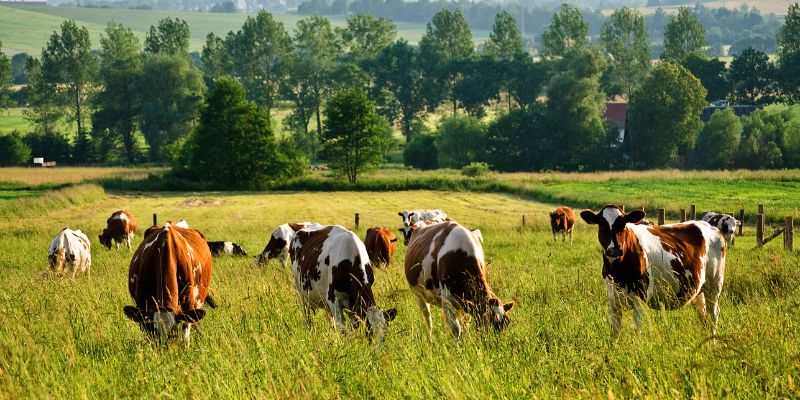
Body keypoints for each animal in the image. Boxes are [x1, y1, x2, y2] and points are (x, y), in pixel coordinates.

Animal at [580, 205, 727, 339]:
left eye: (623, 225)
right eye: (602, 225)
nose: (614, 250)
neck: (617, 272)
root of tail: (710, 227)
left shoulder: (640, 296)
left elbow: (638, 328)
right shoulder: (613, 298)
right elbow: (615, 332)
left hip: (714, 285)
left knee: (713, 315)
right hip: (698, 290)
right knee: (703, 316)